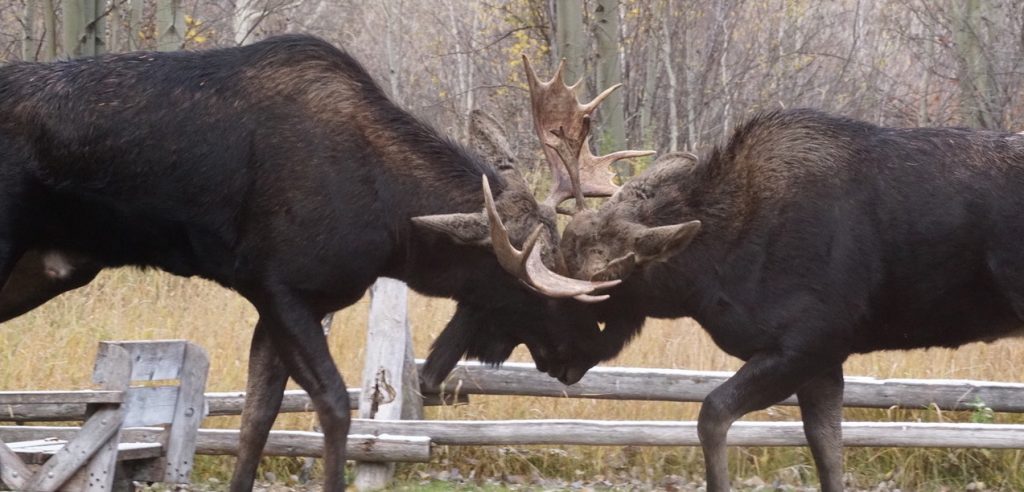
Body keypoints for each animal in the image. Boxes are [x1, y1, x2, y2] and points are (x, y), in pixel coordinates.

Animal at [0, 36, 647, 489]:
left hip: (47, 267)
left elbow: (257, 420)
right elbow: (334, 408)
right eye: (542, 285)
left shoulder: (278, 306)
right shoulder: (279, 288)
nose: (585, 355)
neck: (390, 223)